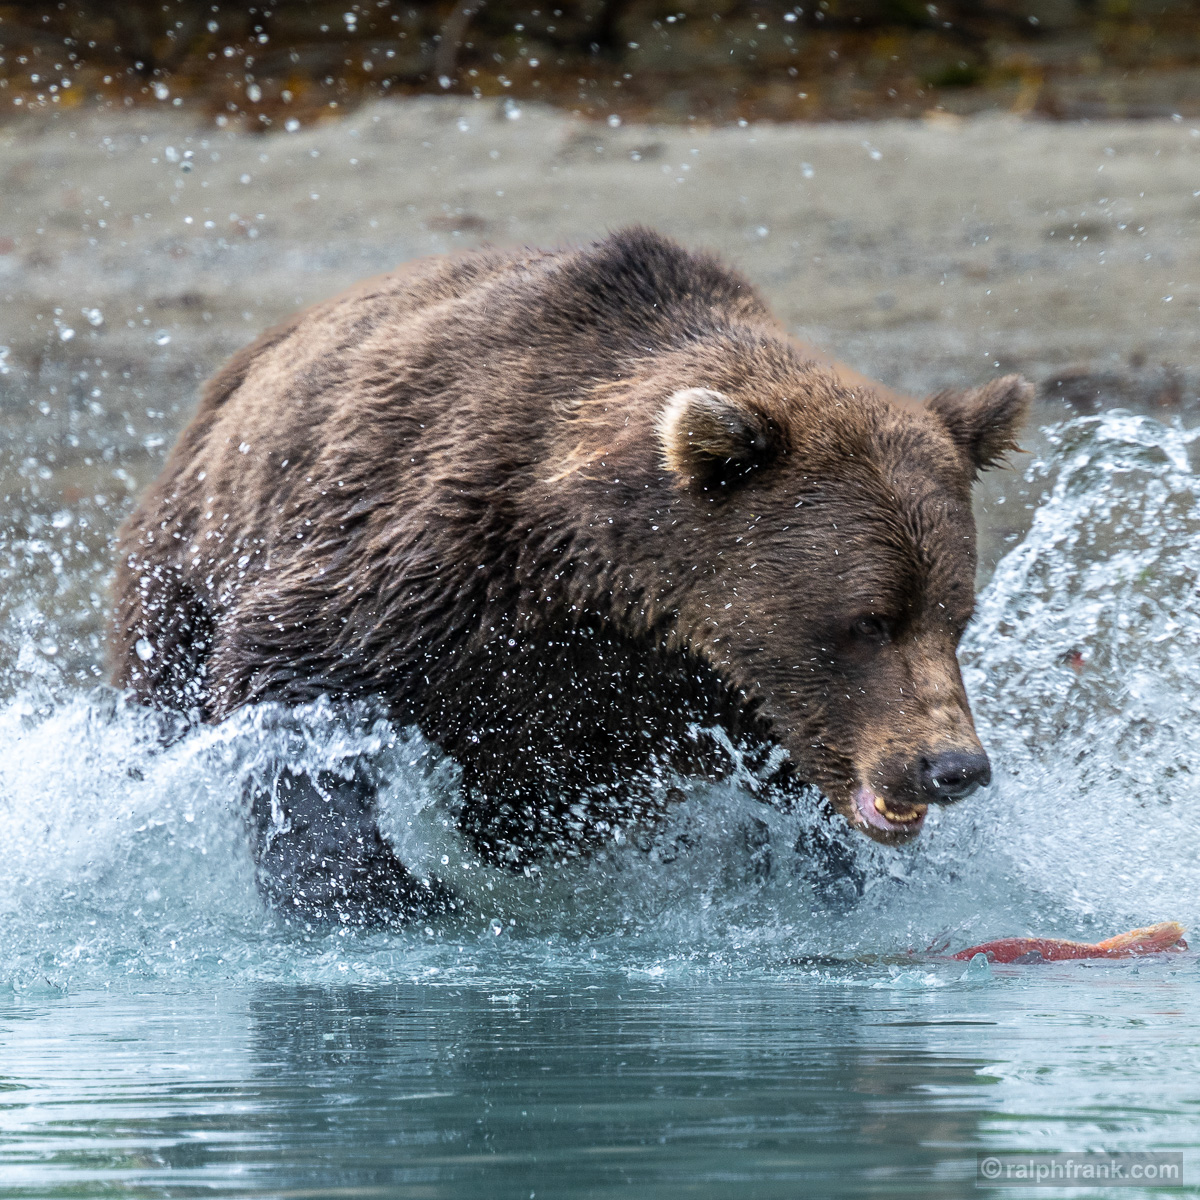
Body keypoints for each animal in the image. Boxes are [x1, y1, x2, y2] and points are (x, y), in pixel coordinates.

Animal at [111, 227, 1030, 924]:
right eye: (869, 619)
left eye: (956, 614)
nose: (953, 767)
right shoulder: (434, 562)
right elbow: (291, 681)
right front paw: (379, 896)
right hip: (186, 563)